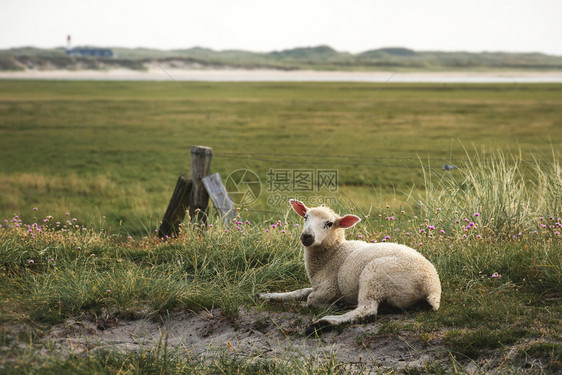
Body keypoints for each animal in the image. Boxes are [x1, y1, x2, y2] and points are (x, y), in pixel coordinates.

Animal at [256, 200, 440, 328]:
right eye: (306, 217)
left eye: (329, 224)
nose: (307, 236)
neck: (333, 254)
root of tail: (432, 288)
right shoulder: (317, 285)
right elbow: (301, 291)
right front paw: (268, 295)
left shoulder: (330, 288)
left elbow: (310, 299)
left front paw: (330, 306)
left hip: (375, 277)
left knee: (367, 311)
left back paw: (325, 322)